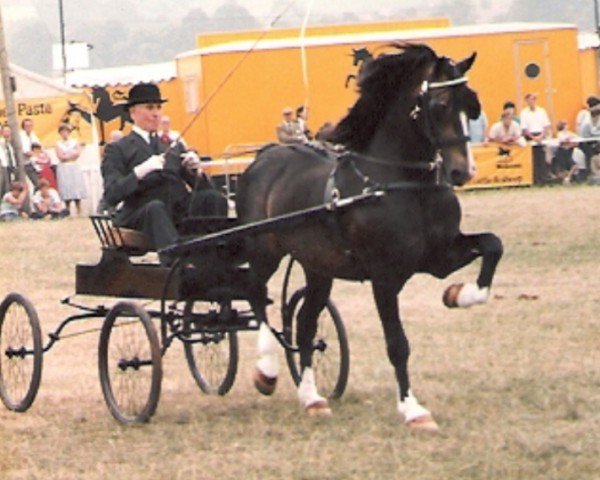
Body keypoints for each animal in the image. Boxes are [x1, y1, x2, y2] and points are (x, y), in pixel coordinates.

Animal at [233, 42, 502, 432]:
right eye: (440, 105)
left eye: (473, 103)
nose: (463, 171)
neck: (399, 184)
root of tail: (263, 158)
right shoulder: (384, 276)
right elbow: (397, 344)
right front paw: (412, 409)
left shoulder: (438, 257)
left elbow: (493, 245)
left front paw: (458, 295)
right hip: (264, 250)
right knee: (256, 294)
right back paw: (266, 371)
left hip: (319, 268)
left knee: (304, 324)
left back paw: (312, 398)